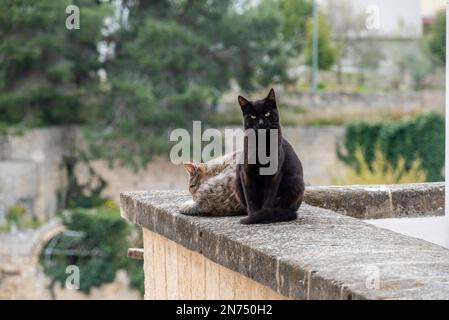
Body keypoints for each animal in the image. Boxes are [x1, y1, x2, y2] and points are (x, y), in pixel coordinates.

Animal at [234, 87, 304, 222]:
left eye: (267, 114)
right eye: (253, 116)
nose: (261, 123)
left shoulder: (274, 175)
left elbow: (268, 198)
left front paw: (262, 215)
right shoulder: (246, 174)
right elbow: (251, 199)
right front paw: (253, 216)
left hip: (296, 184)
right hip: (236, 184)